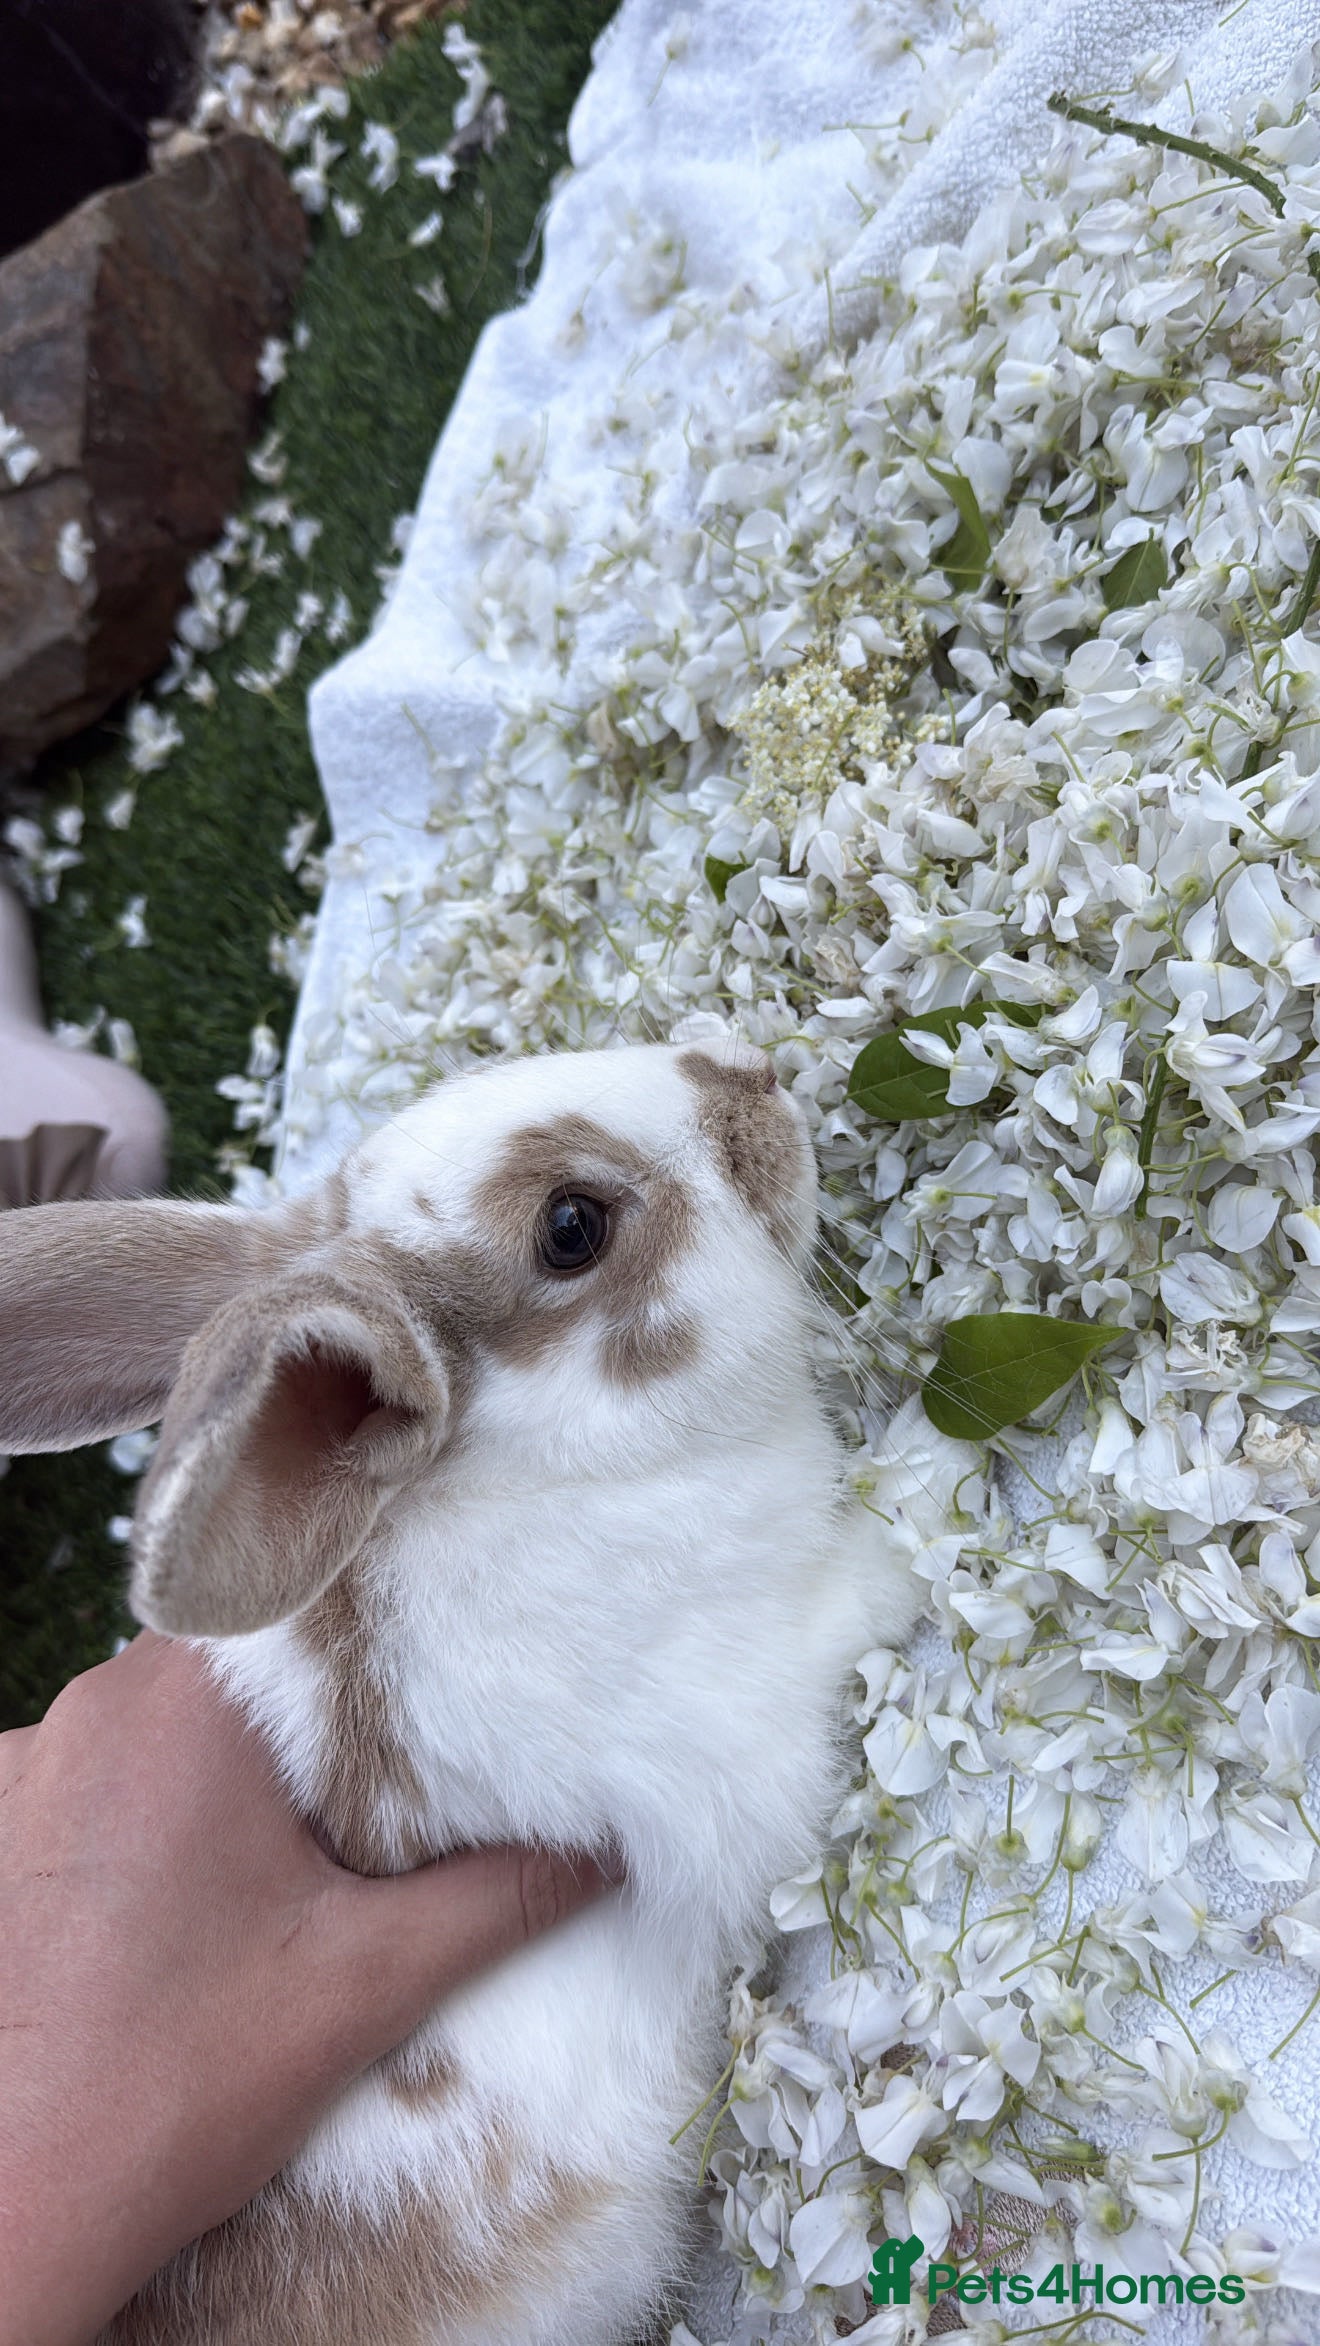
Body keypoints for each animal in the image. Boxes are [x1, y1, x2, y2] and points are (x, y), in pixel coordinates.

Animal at [0, 1039, 923, 2346]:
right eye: (571, 1227)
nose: (748, 1072)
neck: (544, 1462)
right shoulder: (759, 1696)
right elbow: (867, 1589)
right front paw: (942, 1493)